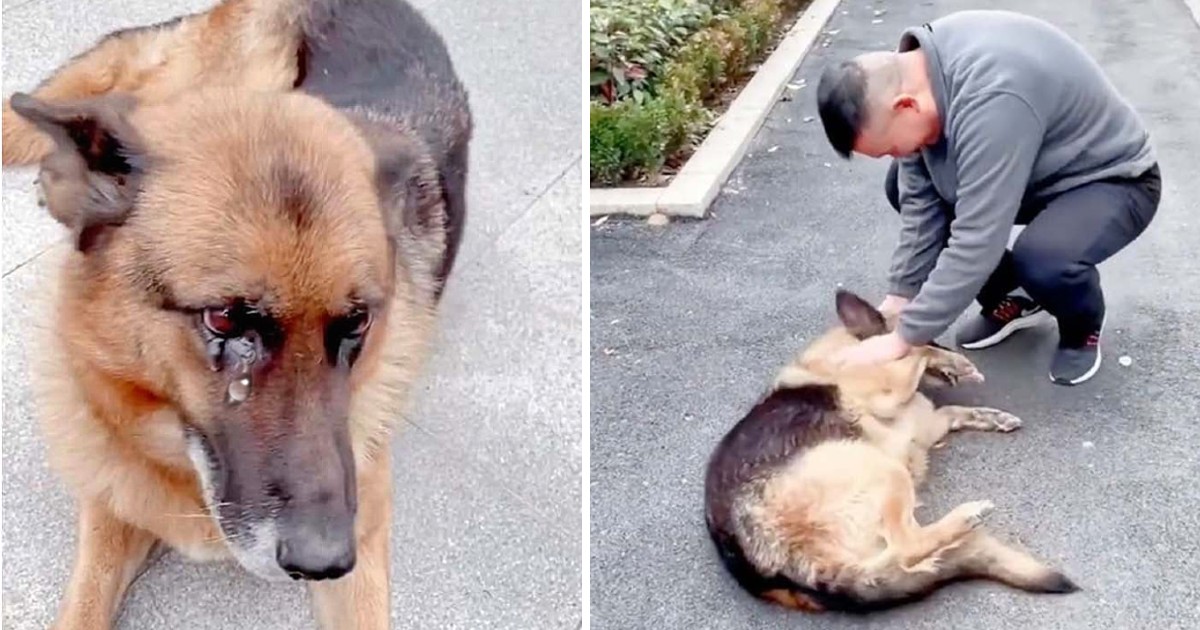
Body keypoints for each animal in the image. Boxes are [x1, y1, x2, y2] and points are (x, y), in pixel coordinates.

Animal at [5, 2, 472, 624]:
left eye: (357, 323)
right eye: (224, 319)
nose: (325, 558)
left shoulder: (366, 545)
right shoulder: (112, 502)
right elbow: (82, 604)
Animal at [700, 291, 1080, 614]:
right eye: (932, 336)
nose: (948, 349)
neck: (847, 349)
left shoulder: (927, 424)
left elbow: (954, 410)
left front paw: (991, 416)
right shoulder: (892, 390)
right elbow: (914, 353)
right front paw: (952, 359)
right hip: (882, 470)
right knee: (906, 547)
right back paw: (964, 518)